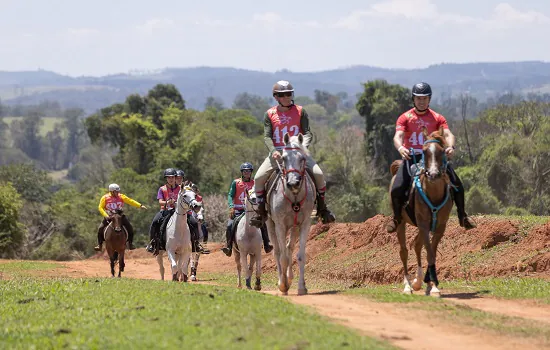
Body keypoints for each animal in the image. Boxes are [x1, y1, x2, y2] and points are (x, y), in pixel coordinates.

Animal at [266, 133, 314, 296]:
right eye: (283, 158)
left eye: (302, 158)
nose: (293, 183)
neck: (293, 197)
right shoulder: (280, 225)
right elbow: (283, 258)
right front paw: (283, 286)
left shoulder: (305, 223)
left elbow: (300, 256)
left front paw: (301, 287)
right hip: (270, 224)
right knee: (278, 251)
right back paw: (283, 281)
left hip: (294, 227)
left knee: (289, 247)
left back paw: (290, 278)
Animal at [388, 127, 452, 296]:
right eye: (424, 151)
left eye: (442, 150)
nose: (434, 174)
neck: (433, 192)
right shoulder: (423, 223)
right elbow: (428, 250)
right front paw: (430, 284)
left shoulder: (439, 226)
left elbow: (432, 252)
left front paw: (433, 285)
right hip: (402, 222)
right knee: (404, 251)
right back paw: (408, 285)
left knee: (416, 245)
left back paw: (420, 282)